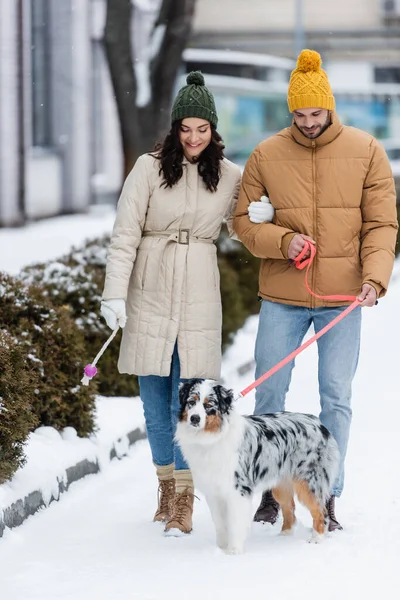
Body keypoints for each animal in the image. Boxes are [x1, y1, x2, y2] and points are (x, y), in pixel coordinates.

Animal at [177, 380, 340, 552]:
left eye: (209, 405)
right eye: (191, 402)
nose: (194, 418)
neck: (212, 437)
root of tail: (320, 425)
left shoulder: (238, 490)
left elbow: (235, 523)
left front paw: (233, 550)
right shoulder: (213, 491)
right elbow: (220, 523)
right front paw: (221, 548)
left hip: (308, 482)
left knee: (320, 511)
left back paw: (317, 539)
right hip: (281, 485)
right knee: (290, 508)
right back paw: (285, 535)